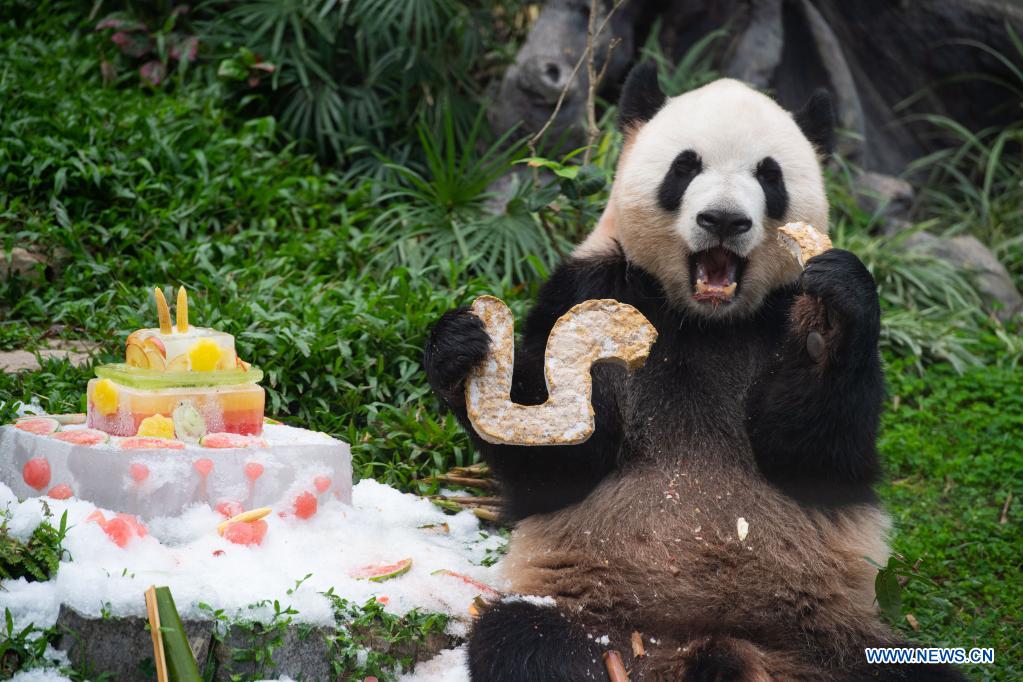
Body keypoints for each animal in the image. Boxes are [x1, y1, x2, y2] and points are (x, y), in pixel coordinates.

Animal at [421, 65, 957, 682]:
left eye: (769, 174)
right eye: (685, 166)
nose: (723, 219)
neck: (702, 319)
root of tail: (700, 647)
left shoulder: (779, 314)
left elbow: (819, 458)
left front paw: (832, 321)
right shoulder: (590, 285)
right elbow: (558, 471)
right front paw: (461, 351)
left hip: (834, 638)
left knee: (908, 670)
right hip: (597, 615)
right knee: (524, 642)